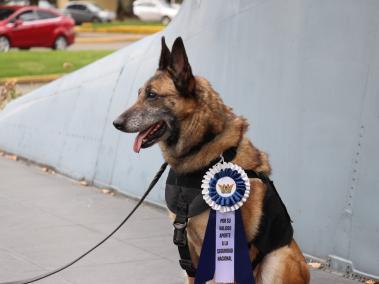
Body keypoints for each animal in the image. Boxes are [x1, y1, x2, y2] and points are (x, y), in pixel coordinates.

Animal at [114, 36, 310, 282]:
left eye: (152, 95)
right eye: (139, 93)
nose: (116, 123)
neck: (202, 148)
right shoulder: (190, 254)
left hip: (278, 258)